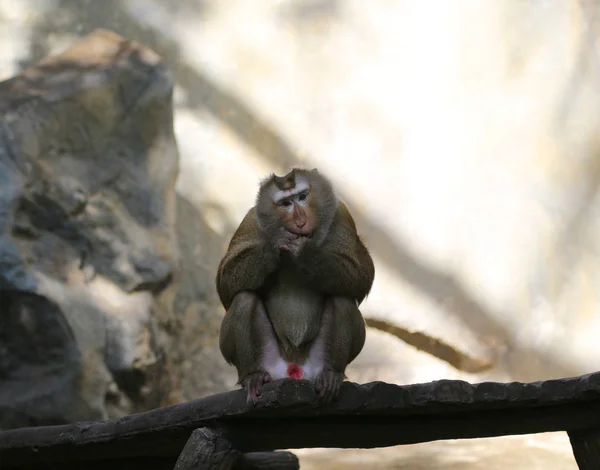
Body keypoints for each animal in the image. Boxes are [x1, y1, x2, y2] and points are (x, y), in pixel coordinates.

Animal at [216, 168, 376, 404]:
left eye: (302, 197)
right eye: (285, 203)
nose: (300, 221)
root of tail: (294, 369)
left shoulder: (342, 215)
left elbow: (361, 275)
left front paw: (304, 251)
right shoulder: (250, 221)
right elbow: (225, 282)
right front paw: (274, 244)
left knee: (341, 298)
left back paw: (331, 374)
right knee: (244, 299)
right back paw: (253, 376)